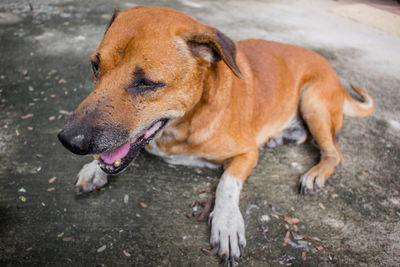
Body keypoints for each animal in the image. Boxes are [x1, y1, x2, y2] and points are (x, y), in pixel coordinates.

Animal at [57, 6, 374, 266]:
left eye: (146, 82)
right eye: (95, 66)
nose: (69, 140)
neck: (187, 121)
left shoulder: (247, 152)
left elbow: (227, 184)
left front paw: (227, 222)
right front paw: (93, 168)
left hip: (314, 101)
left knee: (334, 152)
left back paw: (315, 173)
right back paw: (282, 135)